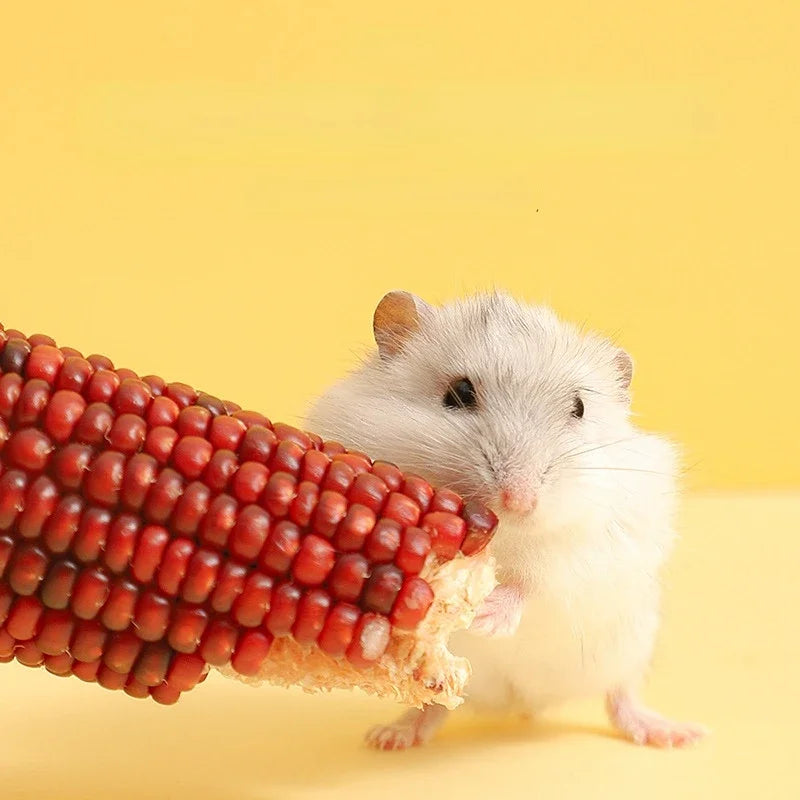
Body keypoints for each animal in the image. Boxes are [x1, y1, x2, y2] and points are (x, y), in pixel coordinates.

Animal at [305, 290, 706, 750]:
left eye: (579, 408)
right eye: (459, 392)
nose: (518, 501)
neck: (504, 537)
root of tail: (523, 702)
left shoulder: (591, 547)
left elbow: (535, 581)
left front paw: (486, 619)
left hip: (630, 646)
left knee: (621, 695)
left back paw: (677, 734)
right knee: (433, 708)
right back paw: (390, 737)